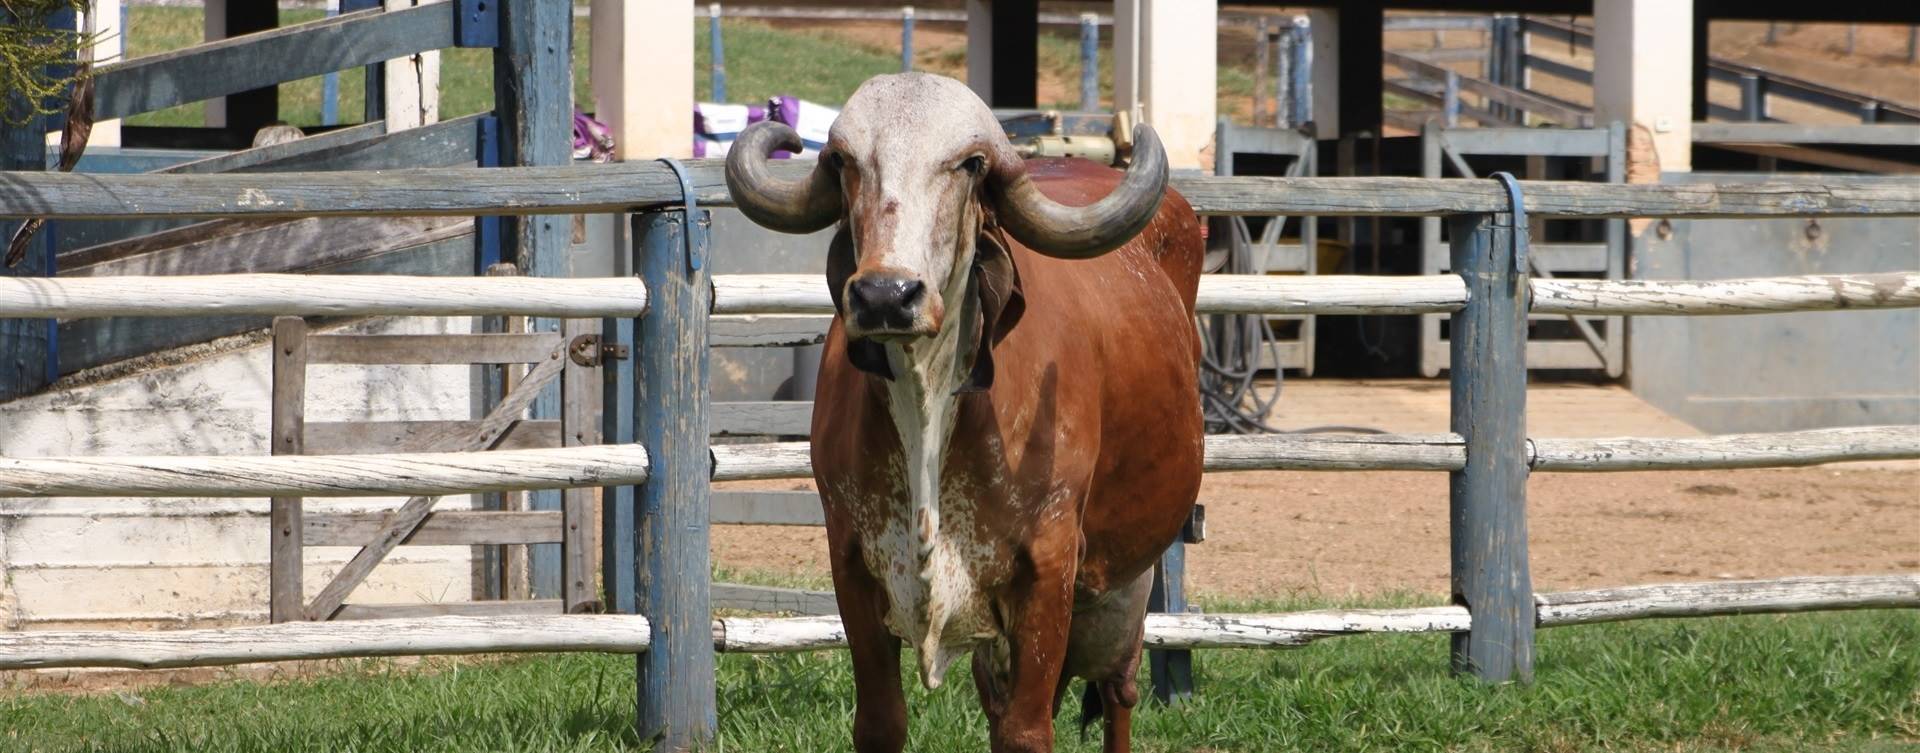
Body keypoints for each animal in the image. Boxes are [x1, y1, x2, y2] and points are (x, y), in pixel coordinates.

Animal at [725, 73, 1205, 753]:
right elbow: (882, 721)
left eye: (971, 163)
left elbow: (1027, 730)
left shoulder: (1049, 569)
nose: (886, 295)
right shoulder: (852, 562)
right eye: (843, 160)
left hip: (1122, 592)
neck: (927, 403)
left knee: (1119, 692)